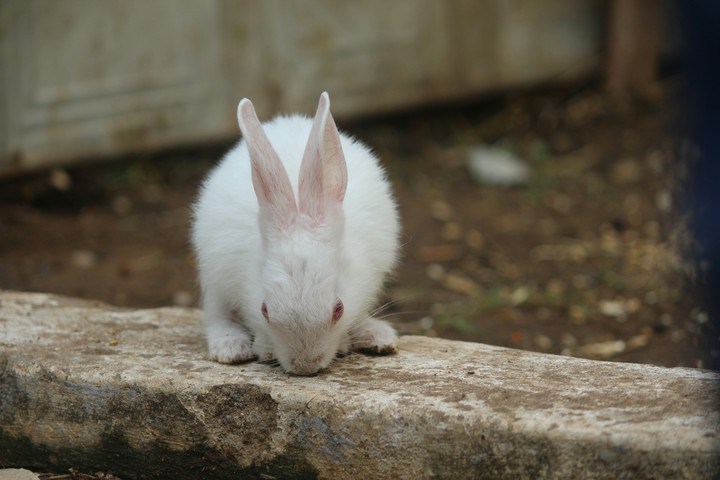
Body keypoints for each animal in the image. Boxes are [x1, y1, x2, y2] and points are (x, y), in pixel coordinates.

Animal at [191, 92, 401, 376]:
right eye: (265, 310)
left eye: (338, 309)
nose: (305, 367)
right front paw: (265, 349)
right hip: (214, 280)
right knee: (218, 314)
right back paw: (230, 348)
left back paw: (378, 336)